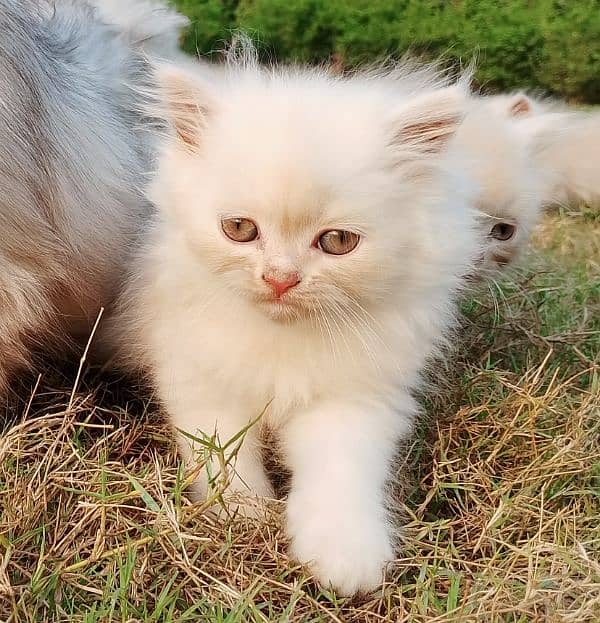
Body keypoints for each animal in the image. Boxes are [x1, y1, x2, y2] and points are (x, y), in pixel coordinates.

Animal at [109, 54, 482, 600]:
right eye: (239, 229)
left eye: (338, 241)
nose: (280, 279)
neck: (283, 339)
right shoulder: (200, 378)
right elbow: (224, 455)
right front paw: (242, 514)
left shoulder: (354, 399)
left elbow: (340, 473)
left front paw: (346, 558)